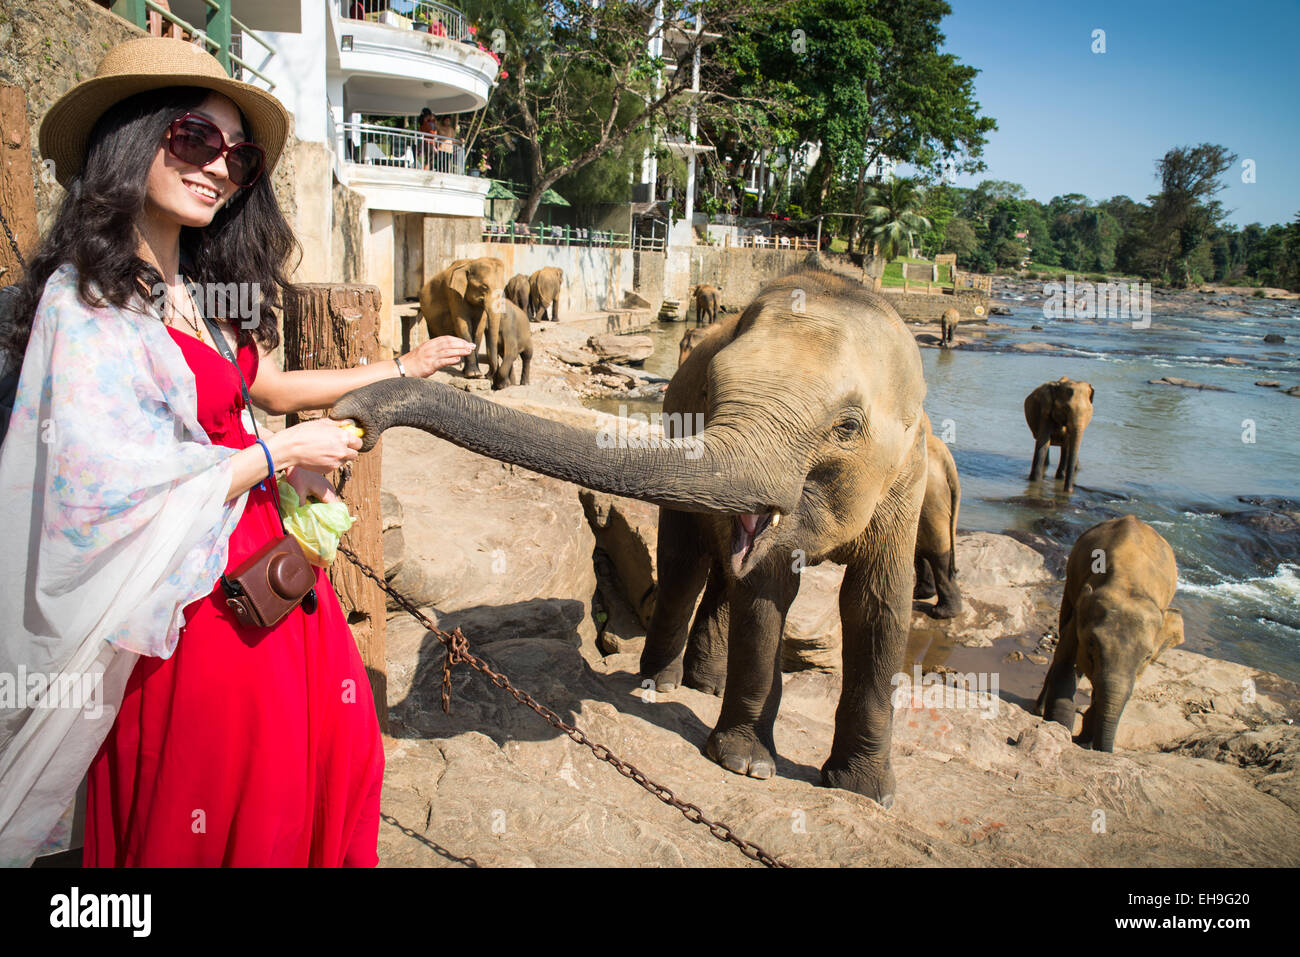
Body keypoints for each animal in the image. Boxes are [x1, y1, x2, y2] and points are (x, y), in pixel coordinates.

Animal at [330, 269, 930, 806]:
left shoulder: (909, 478)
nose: (350, 417)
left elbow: (879, 603)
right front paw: (746, 767)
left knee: (716, 570)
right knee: (686, 565)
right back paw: (661, 684)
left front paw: (867, 793)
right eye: (711, 390)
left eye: (847, 427)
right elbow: (766, 592)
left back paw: (705, 686)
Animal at [1029, 514, 1185, 754]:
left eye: (1147, 657)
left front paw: (1083, 739)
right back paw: (1041, 709)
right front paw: (1061, 730)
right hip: (1070, 585)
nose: (1100, 749)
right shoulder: (1081, 611)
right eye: (1092, 643)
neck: (1129, 585)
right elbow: (1066, 665)